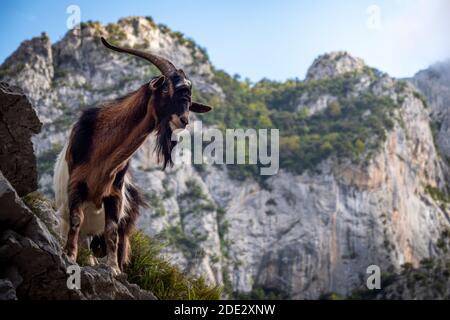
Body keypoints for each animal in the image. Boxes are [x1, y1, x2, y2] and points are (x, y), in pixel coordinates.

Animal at [53, 37, 212, 272]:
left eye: (190, 101)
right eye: (166, 89)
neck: (101, 151)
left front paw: (114, 269)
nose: (183, 120)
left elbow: (111, 231)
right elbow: (75, 219)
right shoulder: (77, 184)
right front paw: (70, 256)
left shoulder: (115, 194)